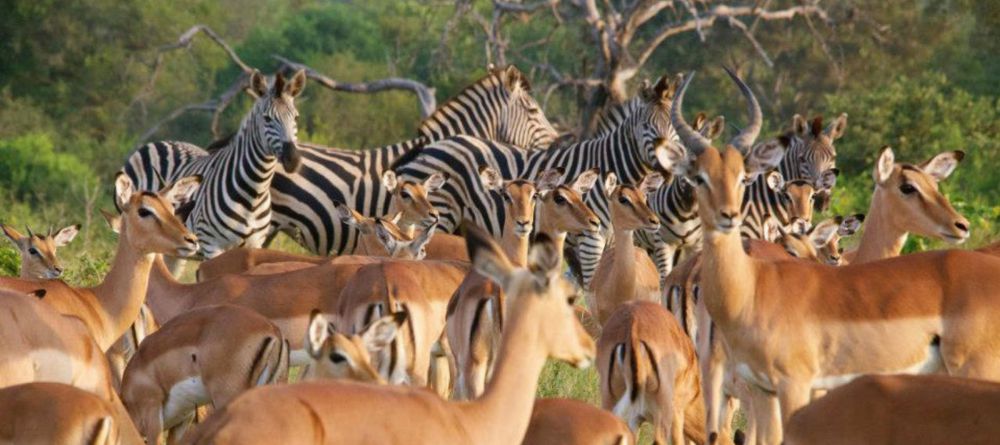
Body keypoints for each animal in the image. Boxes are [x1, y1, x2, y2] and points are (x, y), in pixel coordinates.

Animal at [119, 68, 304, 256]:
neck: (254, 194)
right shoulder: (211, 245)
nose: (293, 159)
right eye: (267, 118)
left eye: (296, 118)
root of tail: (158, 142)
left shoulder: (255, 244)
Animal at [394, 74, 684, 286]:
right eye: (647, 127)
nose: (669, 168)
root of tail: (428, 146)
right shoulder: (591, 238)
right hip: (440, 216)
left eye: (673, 128)